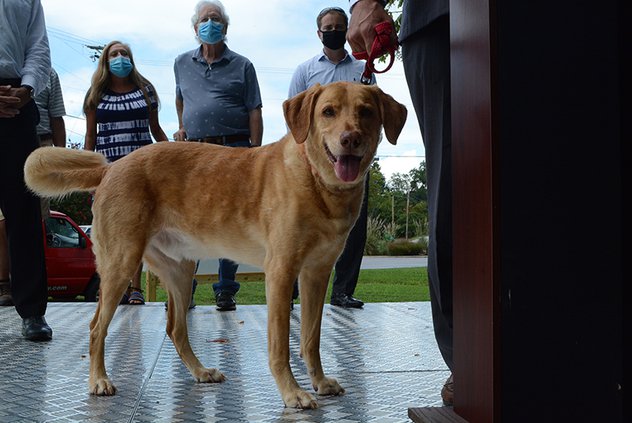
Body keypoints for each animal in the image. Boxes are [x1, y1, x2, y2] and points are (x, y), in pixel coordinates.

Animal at [24, 81, 408, 410]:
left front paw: (320, 381)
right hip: (120, 265)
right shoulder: (282, 273)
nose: (350, 139)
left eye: (366, 112)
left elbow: (311, 339)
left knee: (175, 329)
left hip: (180, 270)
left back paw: (200, 372)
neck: (319, 184)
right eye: (328, 112)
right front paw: (292, 392)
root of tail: (111, 169)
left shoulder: (316, 274)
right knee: (96, 328)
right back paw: (99, 380)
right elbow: (281, 345)